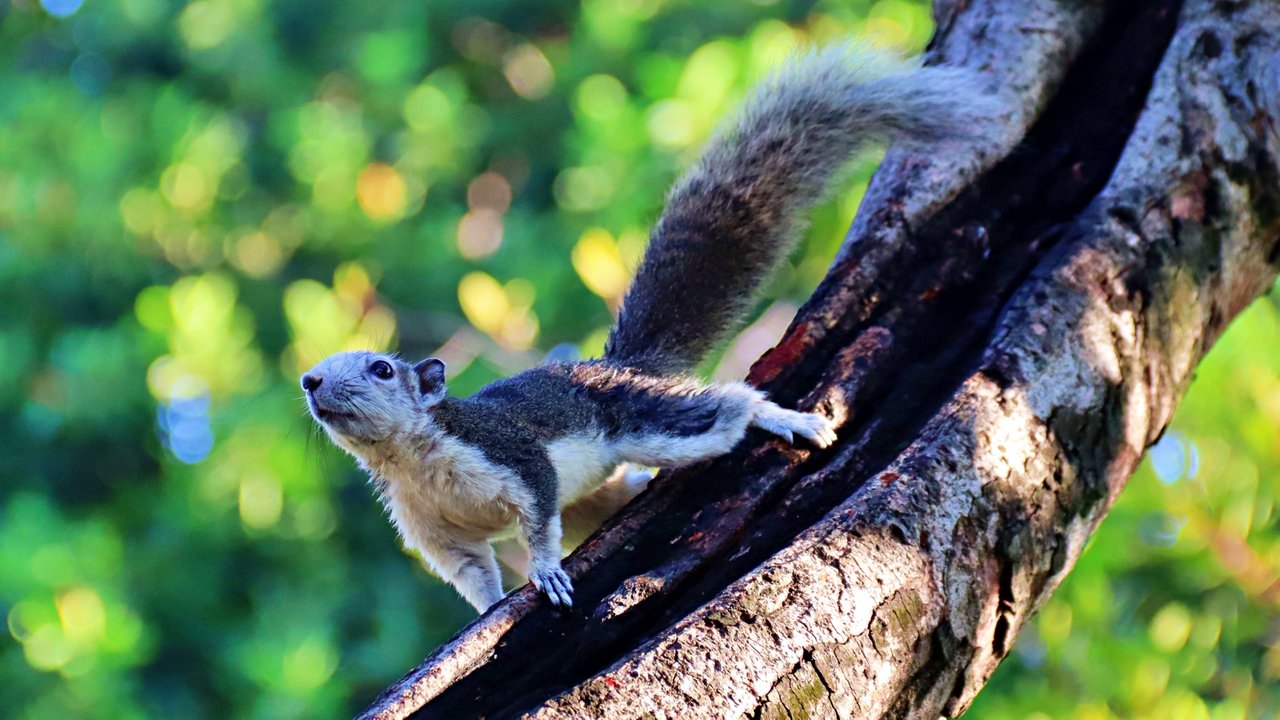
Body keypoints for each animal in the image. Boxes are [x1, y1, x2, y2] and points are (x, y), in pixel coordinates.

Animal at [299, 44, 988, 607]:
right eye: (319, 370)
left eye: (381, 368)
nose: (309, 382)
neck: (410, 459)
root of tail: (617, 366)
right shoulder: (436, 531)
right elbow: (474, 576)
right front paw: (488, 608)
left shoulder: (510, 455)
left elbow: (537, 514)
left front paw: (545, 573)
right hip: (595, 496)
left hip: (643, 419)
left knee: (723, 407)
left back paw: (783, 419)